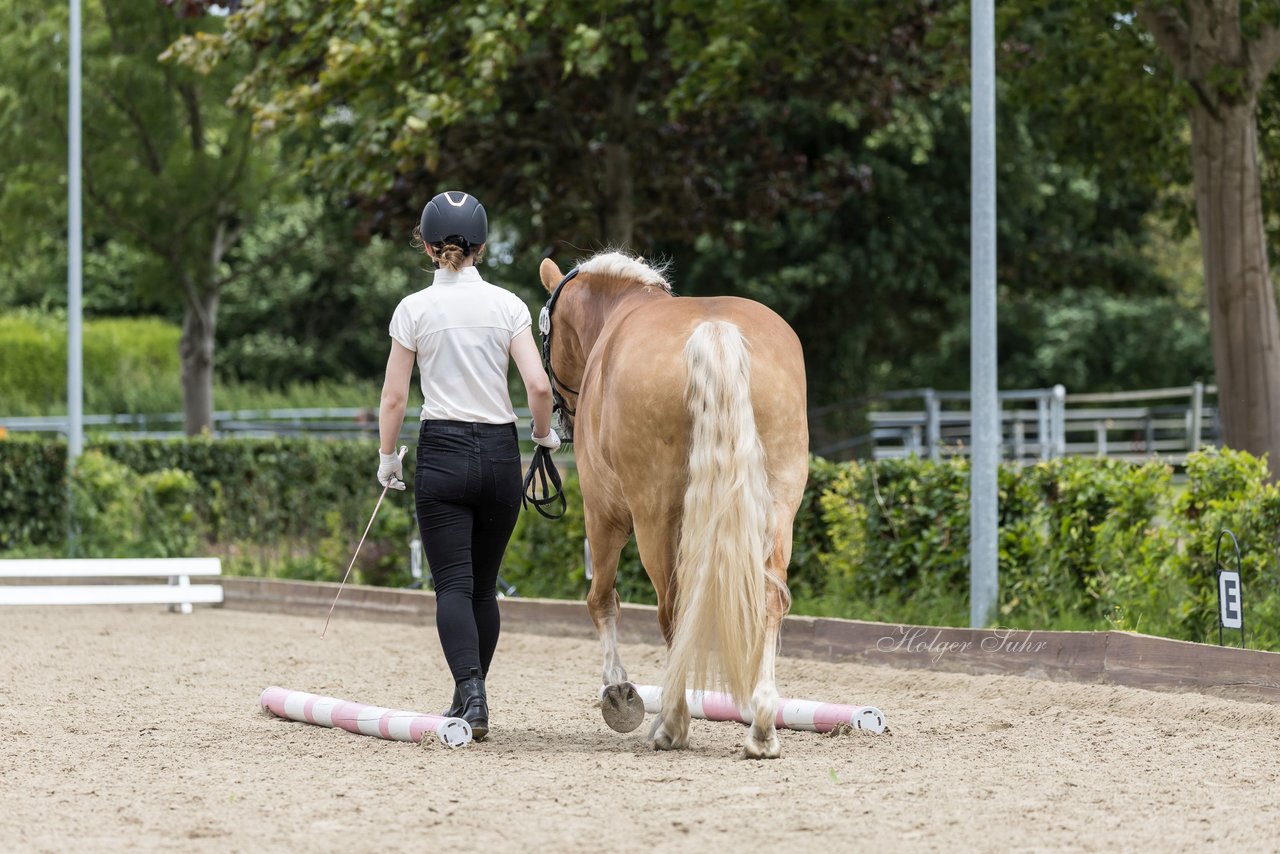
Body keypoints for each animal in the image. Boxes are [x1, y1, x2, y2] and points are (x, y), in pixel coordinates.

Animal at [535, 250, 803, 757]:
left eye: (546, 333)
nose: (561, 415)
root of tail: (715, 330)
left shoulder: (602, 514)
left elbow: (602, 599)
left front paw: (618, 692)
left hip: (654, 519)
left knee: (673, 609)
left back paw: (673, 723)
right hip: (779, 509)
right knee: (768, 601)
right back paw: (761, 727)